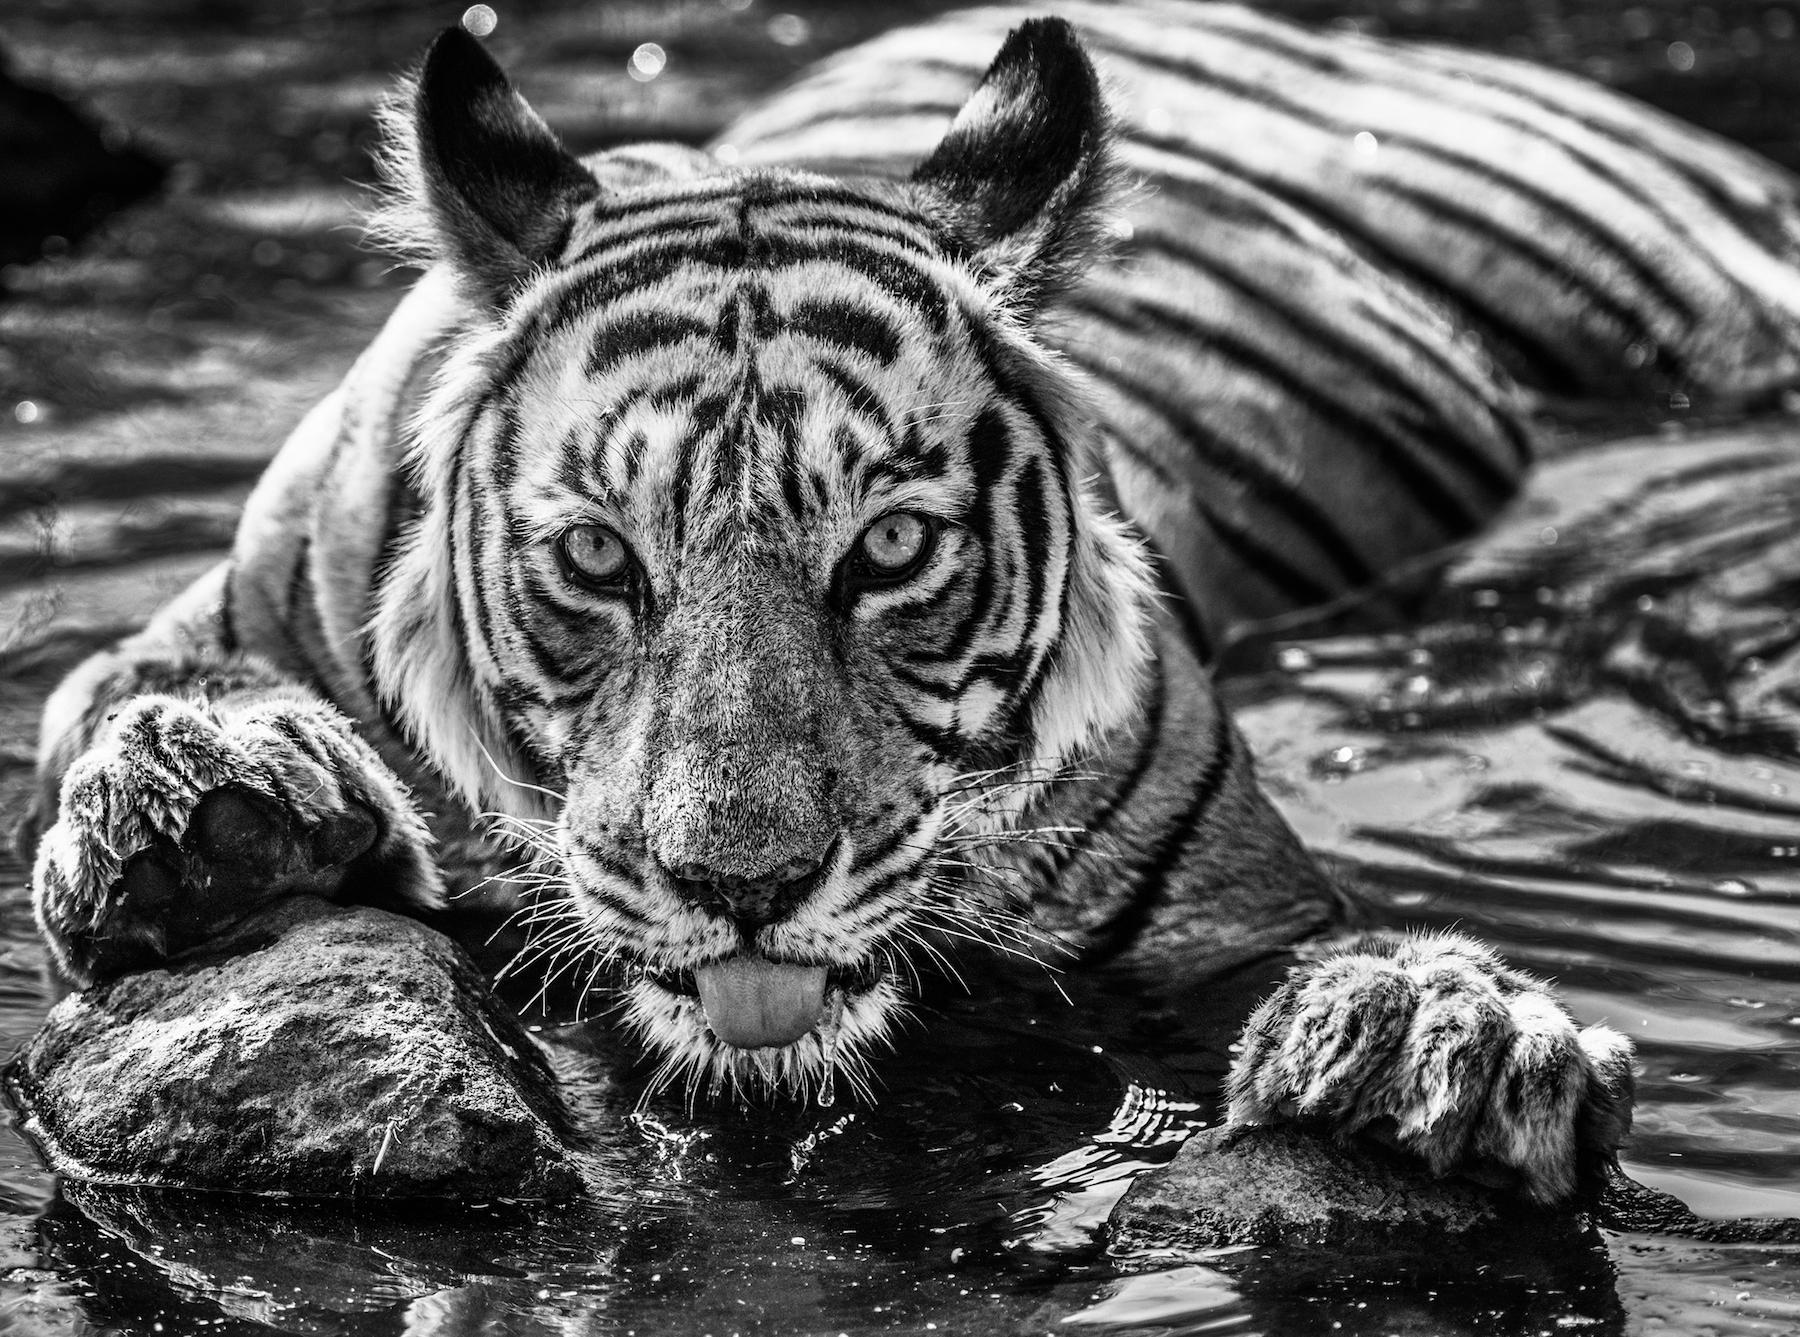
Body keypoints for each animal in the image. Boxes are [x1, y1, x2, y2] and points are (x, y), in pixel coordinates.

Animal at [17, 0, 1800, 1209]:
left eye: (885, 551)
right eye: (598, 559)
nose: (740, 887)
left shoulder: (1232, 909)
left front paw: (1450, 1035)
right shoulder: (218, 604)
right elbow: (123, 690)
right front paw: (211, 804)